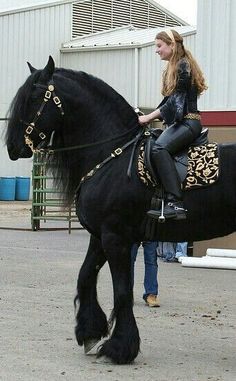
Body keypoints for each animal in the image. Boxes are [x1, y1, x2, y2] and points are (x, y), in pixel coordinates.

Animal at [5, 56, 236, 362]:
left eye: (32, 97)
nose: (11, 146)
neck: (111, 153)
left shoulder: (116, 238)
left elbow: (122, 291)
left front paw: (120, 347)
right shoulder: (100, 236)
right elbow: (85, 276)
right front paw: (90, 332)